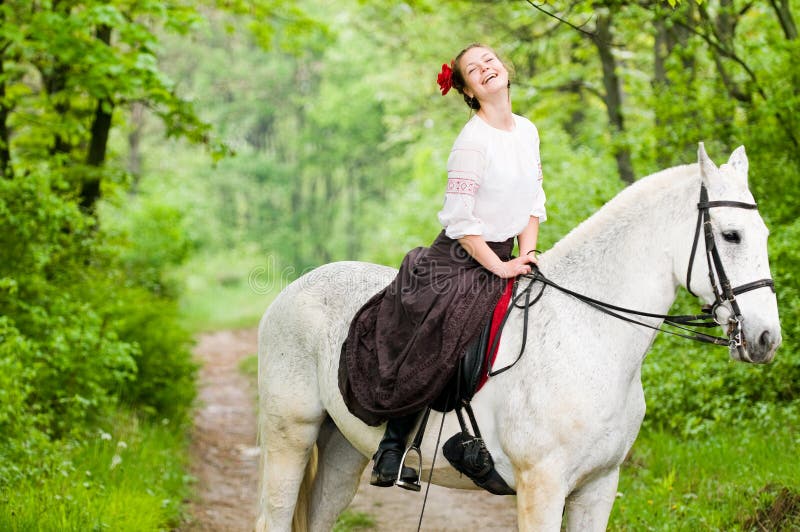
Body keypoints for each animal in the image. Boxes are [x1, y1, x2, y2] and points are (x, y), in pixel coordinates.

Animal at [255, 143, 780, 528]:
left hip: (343, 447)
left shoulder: (598, 489)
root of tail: (293, 290)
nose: (766, 338)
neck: (589, 334)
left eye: (765, 234)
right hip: (291, 435)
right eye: (731, 236)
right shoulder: (541, 488)